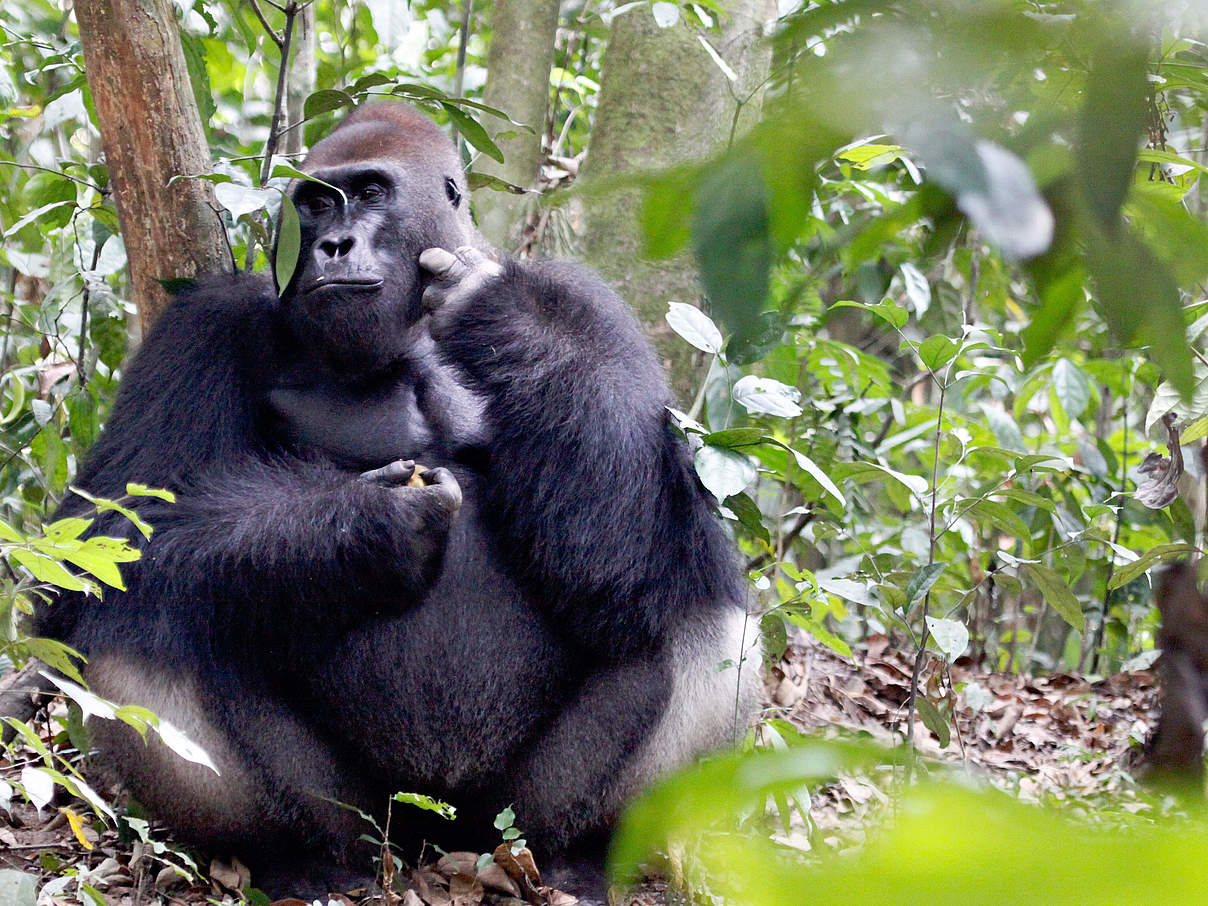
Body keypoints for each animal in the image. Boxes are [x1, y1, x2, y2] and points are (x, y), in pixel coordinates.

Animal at [33, 104, 758, 903]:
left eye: (371, 193)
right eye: (315, 203)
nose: (331, 245)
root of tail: (425, 845)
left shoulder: (590, 302)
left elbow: (636, 546)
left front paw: (498, 312)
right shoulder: (204, 324)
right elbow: (102, 537)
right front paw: (364, 530)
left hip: (498, 822)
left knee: (700, 613)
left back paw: (584, 852)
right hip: (369, 823)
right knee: (138, 627)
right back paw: (294, 856)